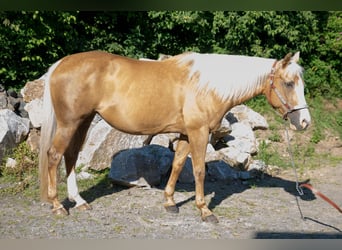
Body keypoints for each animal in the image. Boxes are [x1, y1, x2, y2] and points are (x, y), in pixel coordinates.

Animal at [38, 50, 312, 223]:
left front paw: (170, 202)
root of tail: (61, 63)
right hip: (69, 123)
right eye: (289, 83)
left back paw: (79, 201)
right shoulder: (199, 132)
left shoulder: (185, 133)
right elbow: (199, 170)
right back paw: (58, 205)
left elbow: (178, 164)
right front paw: (205, 211)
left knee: (70, 156)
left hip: (82, 122)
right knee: (54, 155)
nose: (305, 122)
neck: (208, 86)